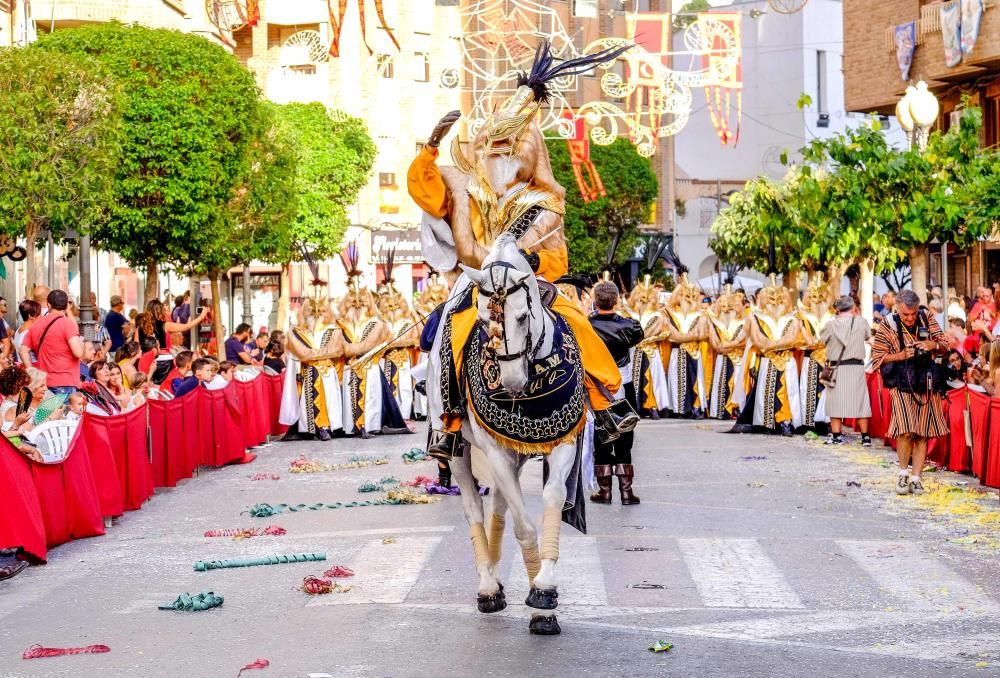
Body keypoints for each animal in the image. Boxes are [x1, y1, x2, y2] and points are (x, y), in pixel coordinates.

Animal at [438, 234, 580, 636]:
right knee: (475, 508)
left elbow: (552, 497)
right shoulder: (494, 451)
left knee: (498, 505)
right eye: (484, 320)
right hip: (460, 450)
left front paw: (544, 593)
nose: (513, 382)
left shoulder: (564, 443)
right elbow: (524, 526)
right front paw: (541, 593)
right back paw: (488, 586)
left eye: (521, 316)